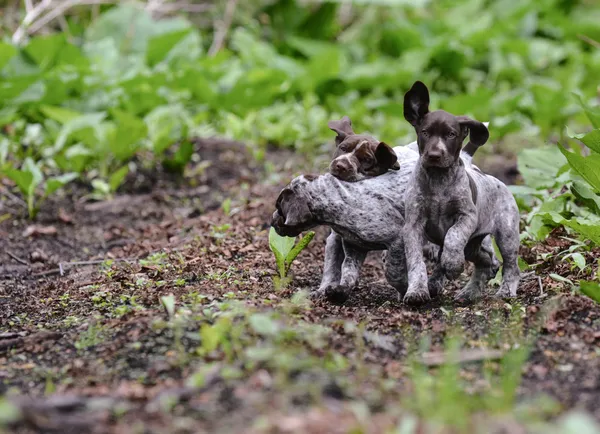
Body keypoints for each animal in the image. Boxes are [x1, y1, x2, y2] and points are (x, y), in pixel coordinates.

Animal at [404, 81, 520, 306]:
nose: (434, 155)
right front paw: (417, 290)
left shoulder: (466, 216)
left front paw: (451, 263)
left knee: (511, 266)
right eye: (425, 132)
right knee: (486, 263)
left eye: (451, 134)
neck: (438, 181)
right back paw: (469, 292)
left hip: (507, 235)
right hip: (473, 246)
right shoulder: (413, 225)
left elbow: (453, 235)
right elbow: (415, 262)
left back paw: (505, 291)